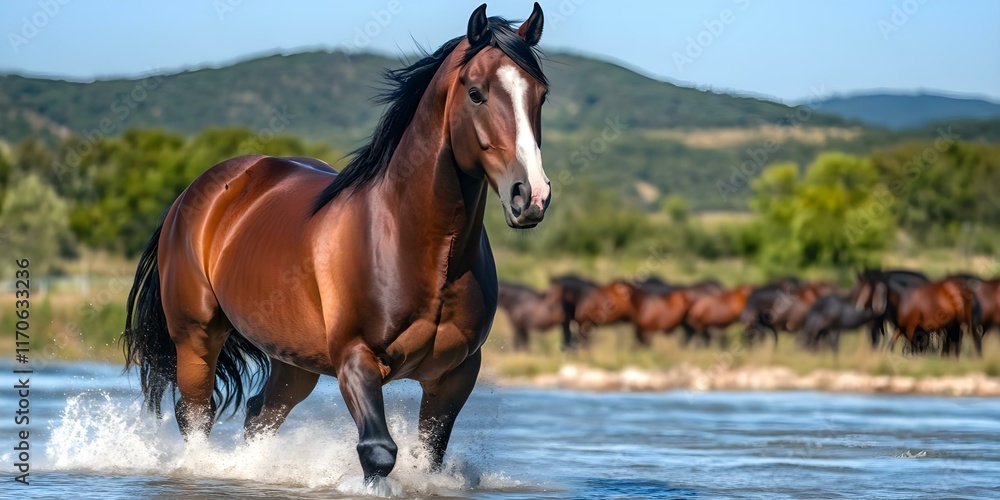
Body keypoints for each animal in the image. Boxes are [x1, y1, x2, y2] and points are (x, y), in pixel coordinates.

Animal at [121, 4, 550, 487]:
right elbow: (378, 451)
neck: (416, 244)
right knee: (195, 415)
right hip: (196, 337)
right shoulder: (356, 360)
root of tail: (192, 194)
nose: (530, 195)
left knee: (259, 415)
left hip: (293, 361)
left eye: (541, 95)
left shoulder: (455, 374)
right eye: (476, 93)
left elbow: (430, 455)